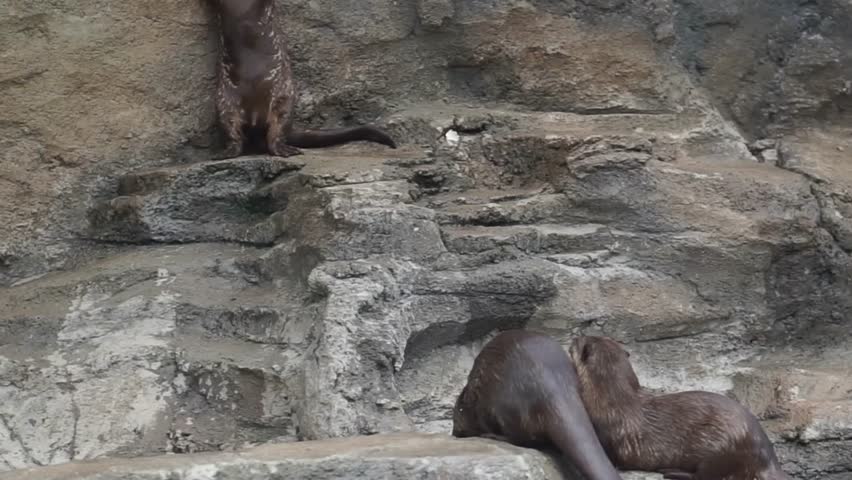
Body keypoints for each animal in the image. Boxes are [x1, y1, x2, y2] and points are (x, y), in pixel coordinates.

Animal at [207, 0, 397, 158]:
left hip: (284, 98)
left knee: (275, 134)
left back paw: (285, 150)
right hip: (224, 102)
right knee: (234, 133)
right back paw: (226, 153)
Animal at [452, 330, 623, 480]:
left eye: (456, 416)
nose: (455, 432)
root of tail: (551, 385)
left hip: (505, 405)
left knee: (519, 437)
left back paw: (493, 436)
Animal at [569, 336, 792, 480]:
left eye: (578, 340)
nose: (573, 336)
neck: (610, 400)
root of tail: (766, 455)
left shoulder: (610, 433)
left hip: (721, 447)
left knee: (707, 476)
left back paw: (673, 472)